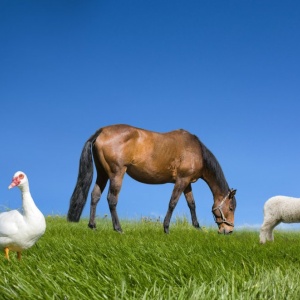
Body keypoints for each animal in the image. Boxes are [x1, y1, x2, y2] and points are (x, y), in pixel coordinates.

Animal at [67, 123, 237, 234]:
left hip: (103, 174)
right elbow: (172, 203)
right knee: (112, 199)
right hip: (116, 173)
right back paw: (118, 229)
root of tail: (102, 131)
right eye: (231, 207)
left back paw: (93, 226)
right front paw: (166, 228)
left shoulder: (187, 183)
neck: (196, 150)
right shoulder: (181, 180)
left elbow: (192, 204)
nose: (228, 230)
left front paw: (197, 227)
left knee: (95, 196)